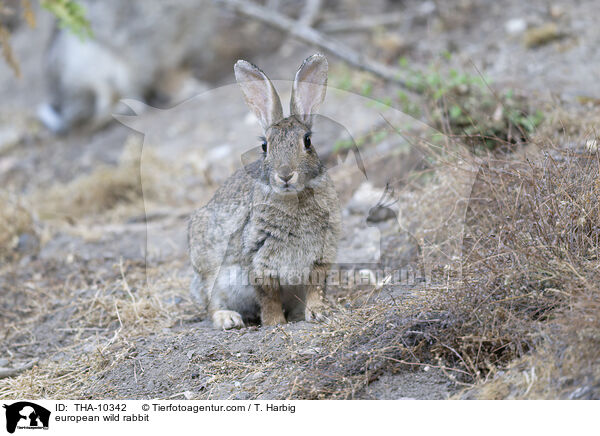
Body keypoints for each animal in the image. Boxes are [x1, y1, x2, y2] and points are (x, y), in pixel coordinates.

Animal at [188, 52, 340, 328]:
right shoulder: (257, 258)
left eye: (307, 141)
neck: (293, 198)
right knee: (211, 303)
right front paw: (274, 322)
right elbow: (268, 296)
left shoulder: (321, 256)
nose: (285, 175)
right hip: (212, 275)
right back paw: (228, 318)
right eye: (264, 146)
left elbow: (316, 288)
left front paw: (318, 312)